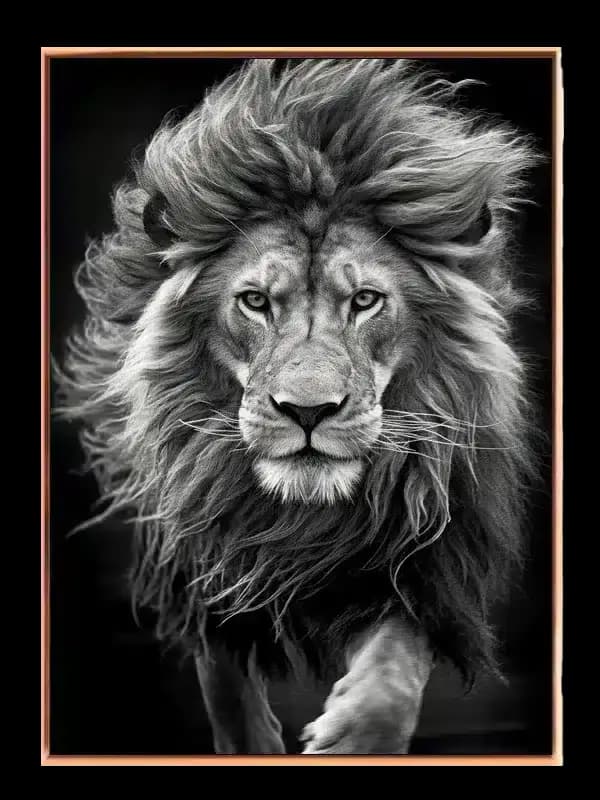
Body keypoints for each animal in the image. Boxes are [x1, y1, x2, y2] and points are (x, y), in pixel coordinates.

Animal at [54, 58, 541, 755]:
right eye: (255, 301)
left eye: (365, 300)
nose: (307, 412)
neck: (302, 519)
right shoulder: (204, 563)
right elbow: (227, 687)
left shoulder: (419, 559)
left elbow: (394, 669)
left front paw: (357, 738)